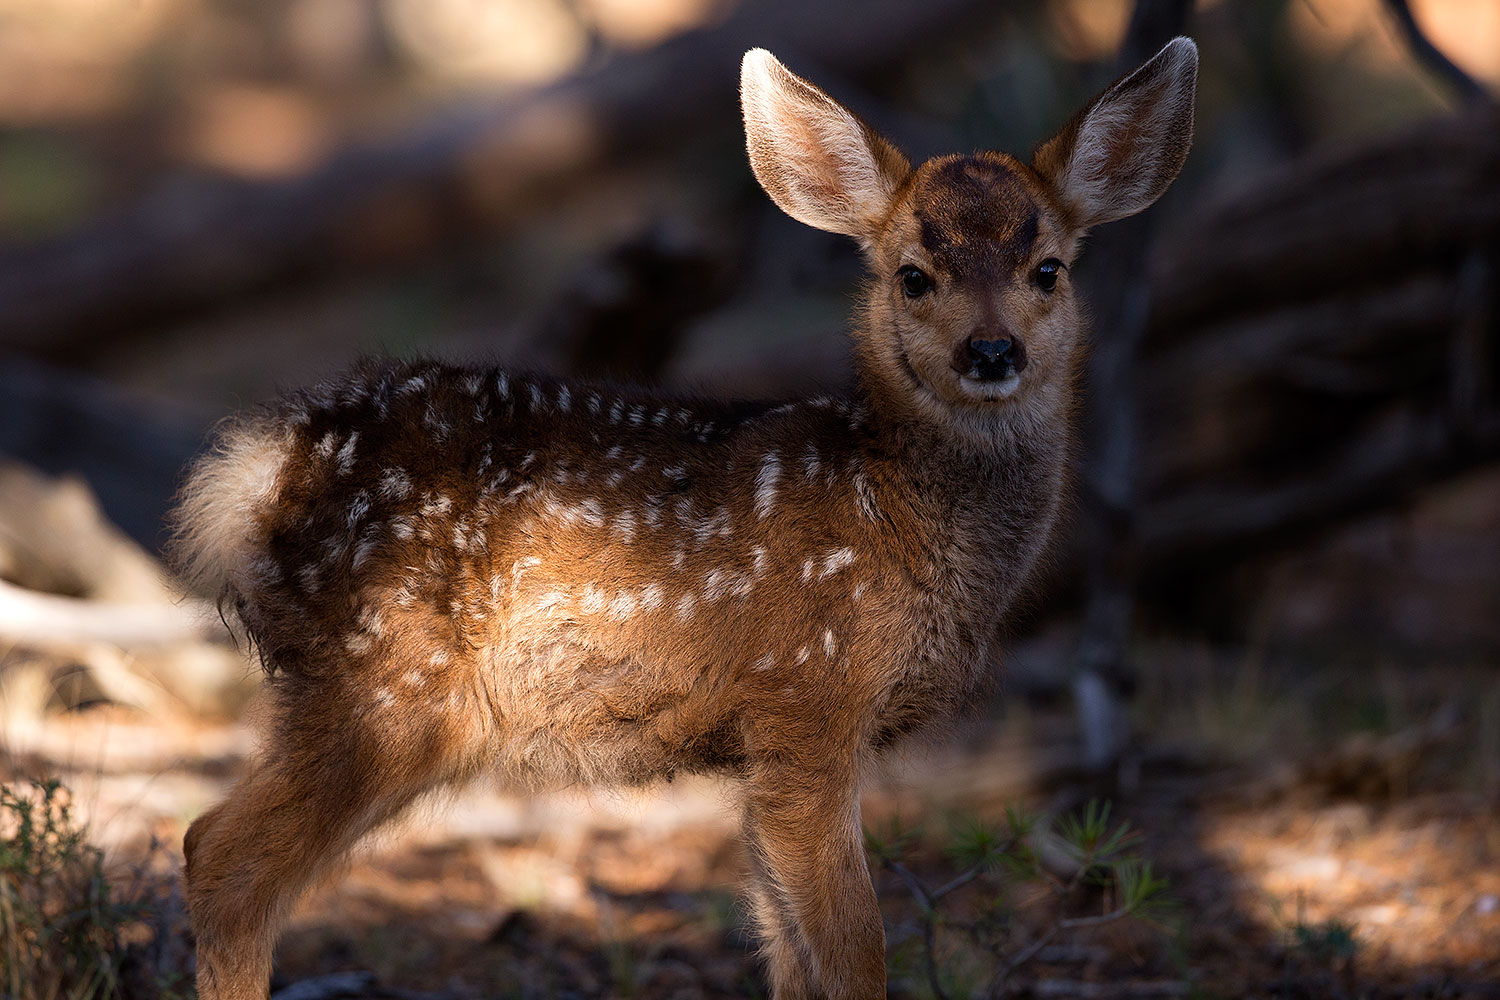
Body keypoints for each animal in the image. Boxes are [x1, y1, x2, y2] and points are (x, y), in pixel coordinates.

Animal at [170, 38, 1197, 1000]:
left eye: (1048, 269)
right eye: (914, 276)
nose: (991, 351)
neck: (895, 515)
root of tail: (257, 470)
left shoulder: (760, 745)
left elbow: (788, 946)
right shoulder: (805, 697)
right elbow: (854, 950)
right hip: (382, 675)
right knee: (221, 856)